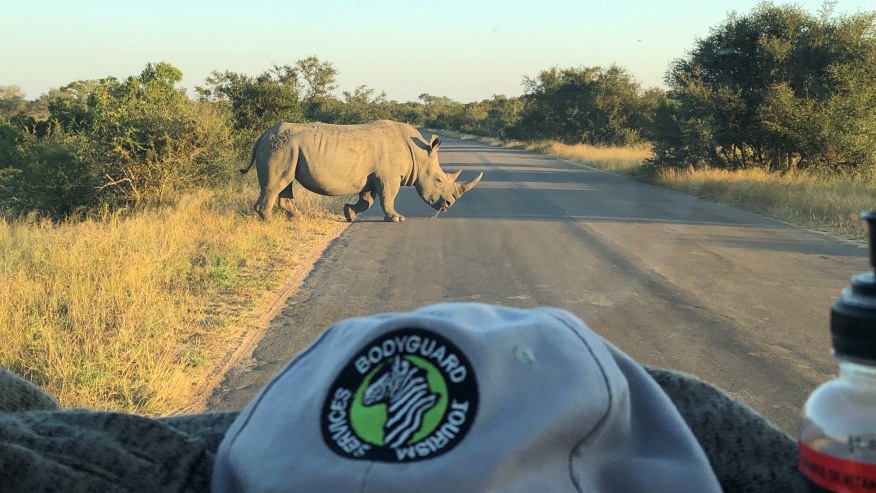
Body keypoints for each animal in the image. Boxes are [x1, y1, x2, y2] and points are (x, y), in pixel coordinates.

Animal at [240, 119, 482, 221]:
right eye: (439, 180)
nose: (448, 205)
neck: (419, 154)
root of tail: (263, 135)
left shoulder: (374, 177)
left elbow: (368, 200)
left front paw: (349, 213)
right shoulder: (389, 177)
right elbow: (387, 198)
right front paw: (397, 218)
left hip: (287, 149)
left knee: (286, 183)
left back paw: (298, 219)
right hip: (280, 147)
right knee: (276, 185)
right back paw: (269, 222)